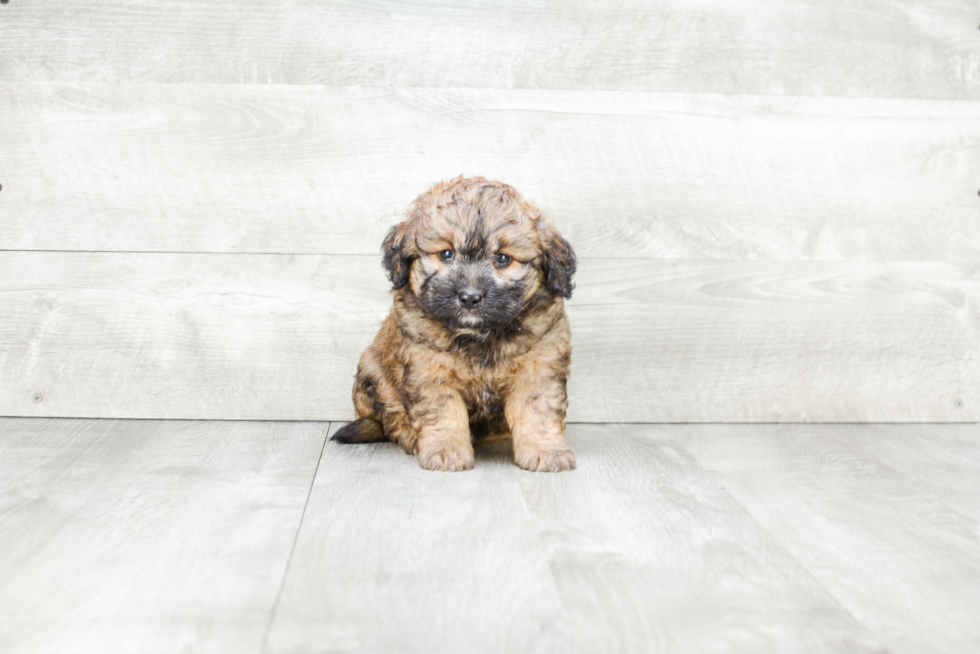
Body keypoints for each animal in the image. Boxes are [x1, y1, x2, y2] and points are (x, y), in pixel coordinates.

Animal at [332, 174, 576, 472]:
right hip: (372, 372)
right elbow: (442, 413)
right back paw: (409, 436)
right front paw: (445, 450)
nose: (470, 297)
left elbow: (538, 410)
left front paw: (545, 450)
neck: (479, 336)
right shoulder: (429, 370)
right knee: (391, 419)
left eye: (502, 259)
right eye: (446, 254)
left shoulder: (539, 367)